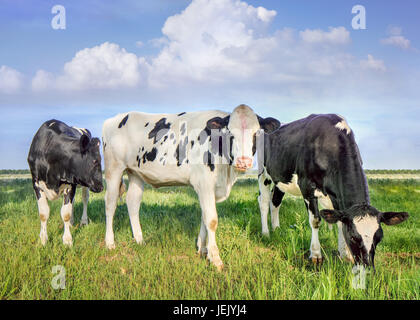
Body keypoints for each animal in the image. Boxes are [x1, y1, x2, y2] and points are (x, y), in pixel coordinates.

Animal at [101, 105, 278, 270]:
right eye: (230, 133)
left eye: (256, 133)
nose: (244, 161)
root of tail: (115, 118)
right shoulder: (204, 183)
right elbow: (211, 219)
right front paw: (215, 259)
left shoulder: (209, 188)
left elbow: (204, 217)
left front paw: (203, 249)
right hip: (113, 169)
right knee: (110, 204)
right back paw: (110, 243)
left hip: (135, 173)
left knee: (133, 202)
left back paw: (139, 240)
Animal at [258, 114, 408, 268]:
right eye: (353, 237)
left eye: (378, 238)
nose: (366, 266)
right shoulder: (307, 186)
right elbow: (315, 220)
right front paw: (316, 255)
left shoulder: (336, 195)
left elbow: (340, 221)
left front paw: (345, 255)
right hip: (263, 173)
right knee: (263, 202)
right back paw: (266, 233)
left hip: (280, 178)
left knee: (275, 202)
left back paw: (277, 229)